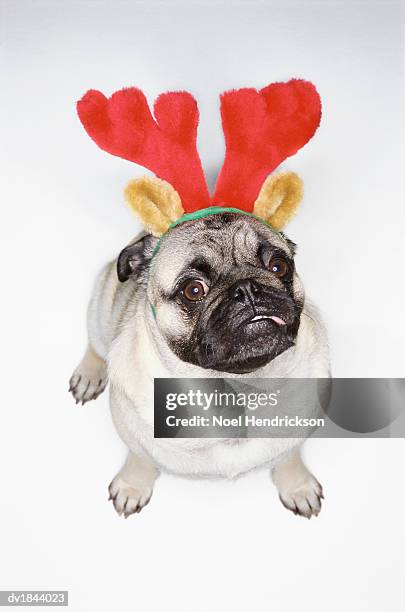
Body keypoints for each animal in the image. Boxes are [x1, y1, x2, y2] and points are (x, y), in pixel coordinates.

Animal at [69, 210, 328, 516]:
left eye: (279, 267)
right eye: (193, 290)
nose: (247, 288)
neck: (237, 388)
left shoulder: (295, 433)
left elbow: (289, 457)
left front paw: (297, 486)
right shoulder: (133, 435)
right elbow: (140, 458)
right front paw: (133, 486)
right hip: (101, 305)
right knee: (96, 344)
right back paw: (89, 375)